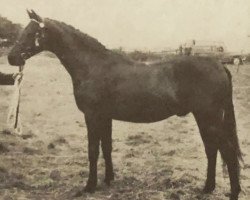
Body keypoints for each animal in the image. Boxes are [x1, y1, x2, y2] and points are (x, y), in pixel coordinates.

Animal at [8, 10, 242, 199]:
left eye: (31, 33)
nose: (11, 57)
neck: (93, 66)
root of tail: (219, 65)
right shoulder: (105, 117)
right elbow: (107, 147)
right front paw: (109, 180)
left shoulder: (92, 116)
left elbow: (93, 150)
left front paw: (89, 186)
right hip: (204, 118)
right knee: (212, 149)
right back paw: (207, 188)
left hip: (209, 117)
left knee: (227, 152)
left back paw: (233, 192)